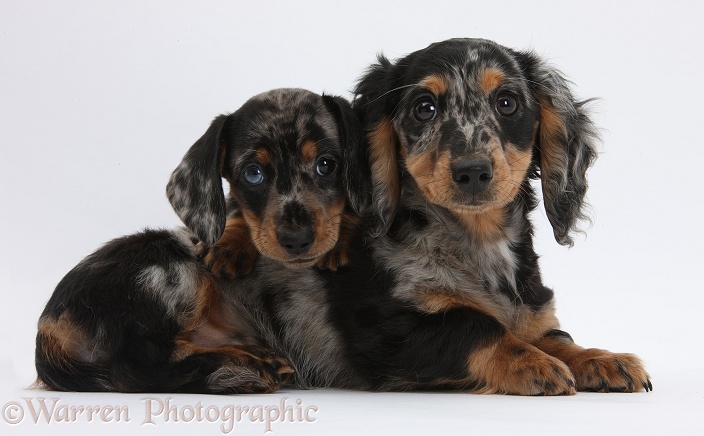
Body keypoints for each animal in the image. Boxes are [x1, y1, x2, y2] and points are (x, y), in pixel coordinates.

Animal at [33, 87, 366, 394]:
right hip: (168, 268)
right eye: (253, 174)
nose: (296, 240)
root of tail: (47, 327)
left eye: (326, 164)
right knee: (136, 364)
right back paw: (248, 364)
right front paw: (229, 244)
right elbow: (236, 214)